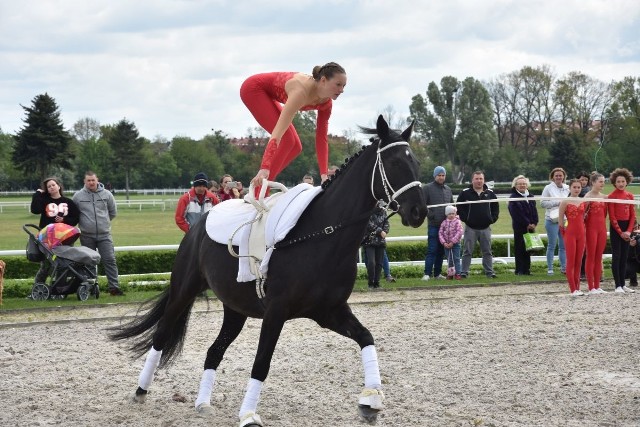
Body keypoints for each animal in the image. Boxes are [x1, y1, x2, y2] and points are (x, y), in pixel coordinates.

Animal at [111, 115, 424, 426]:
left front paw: (371, 400)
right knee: (161, 336)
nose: (418, 212)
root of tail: (200, 223)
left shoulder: (329, 311)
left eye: (416, 162)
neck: (323, 235)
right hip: (183, 292)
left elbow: (366, 338)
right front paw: (249, 415)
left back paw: (203, 403)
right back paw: (140, 391)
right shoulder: (276, 311)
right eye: (395, 163)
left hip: (235, 309)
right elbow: (261, 363)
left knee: (214, 351)